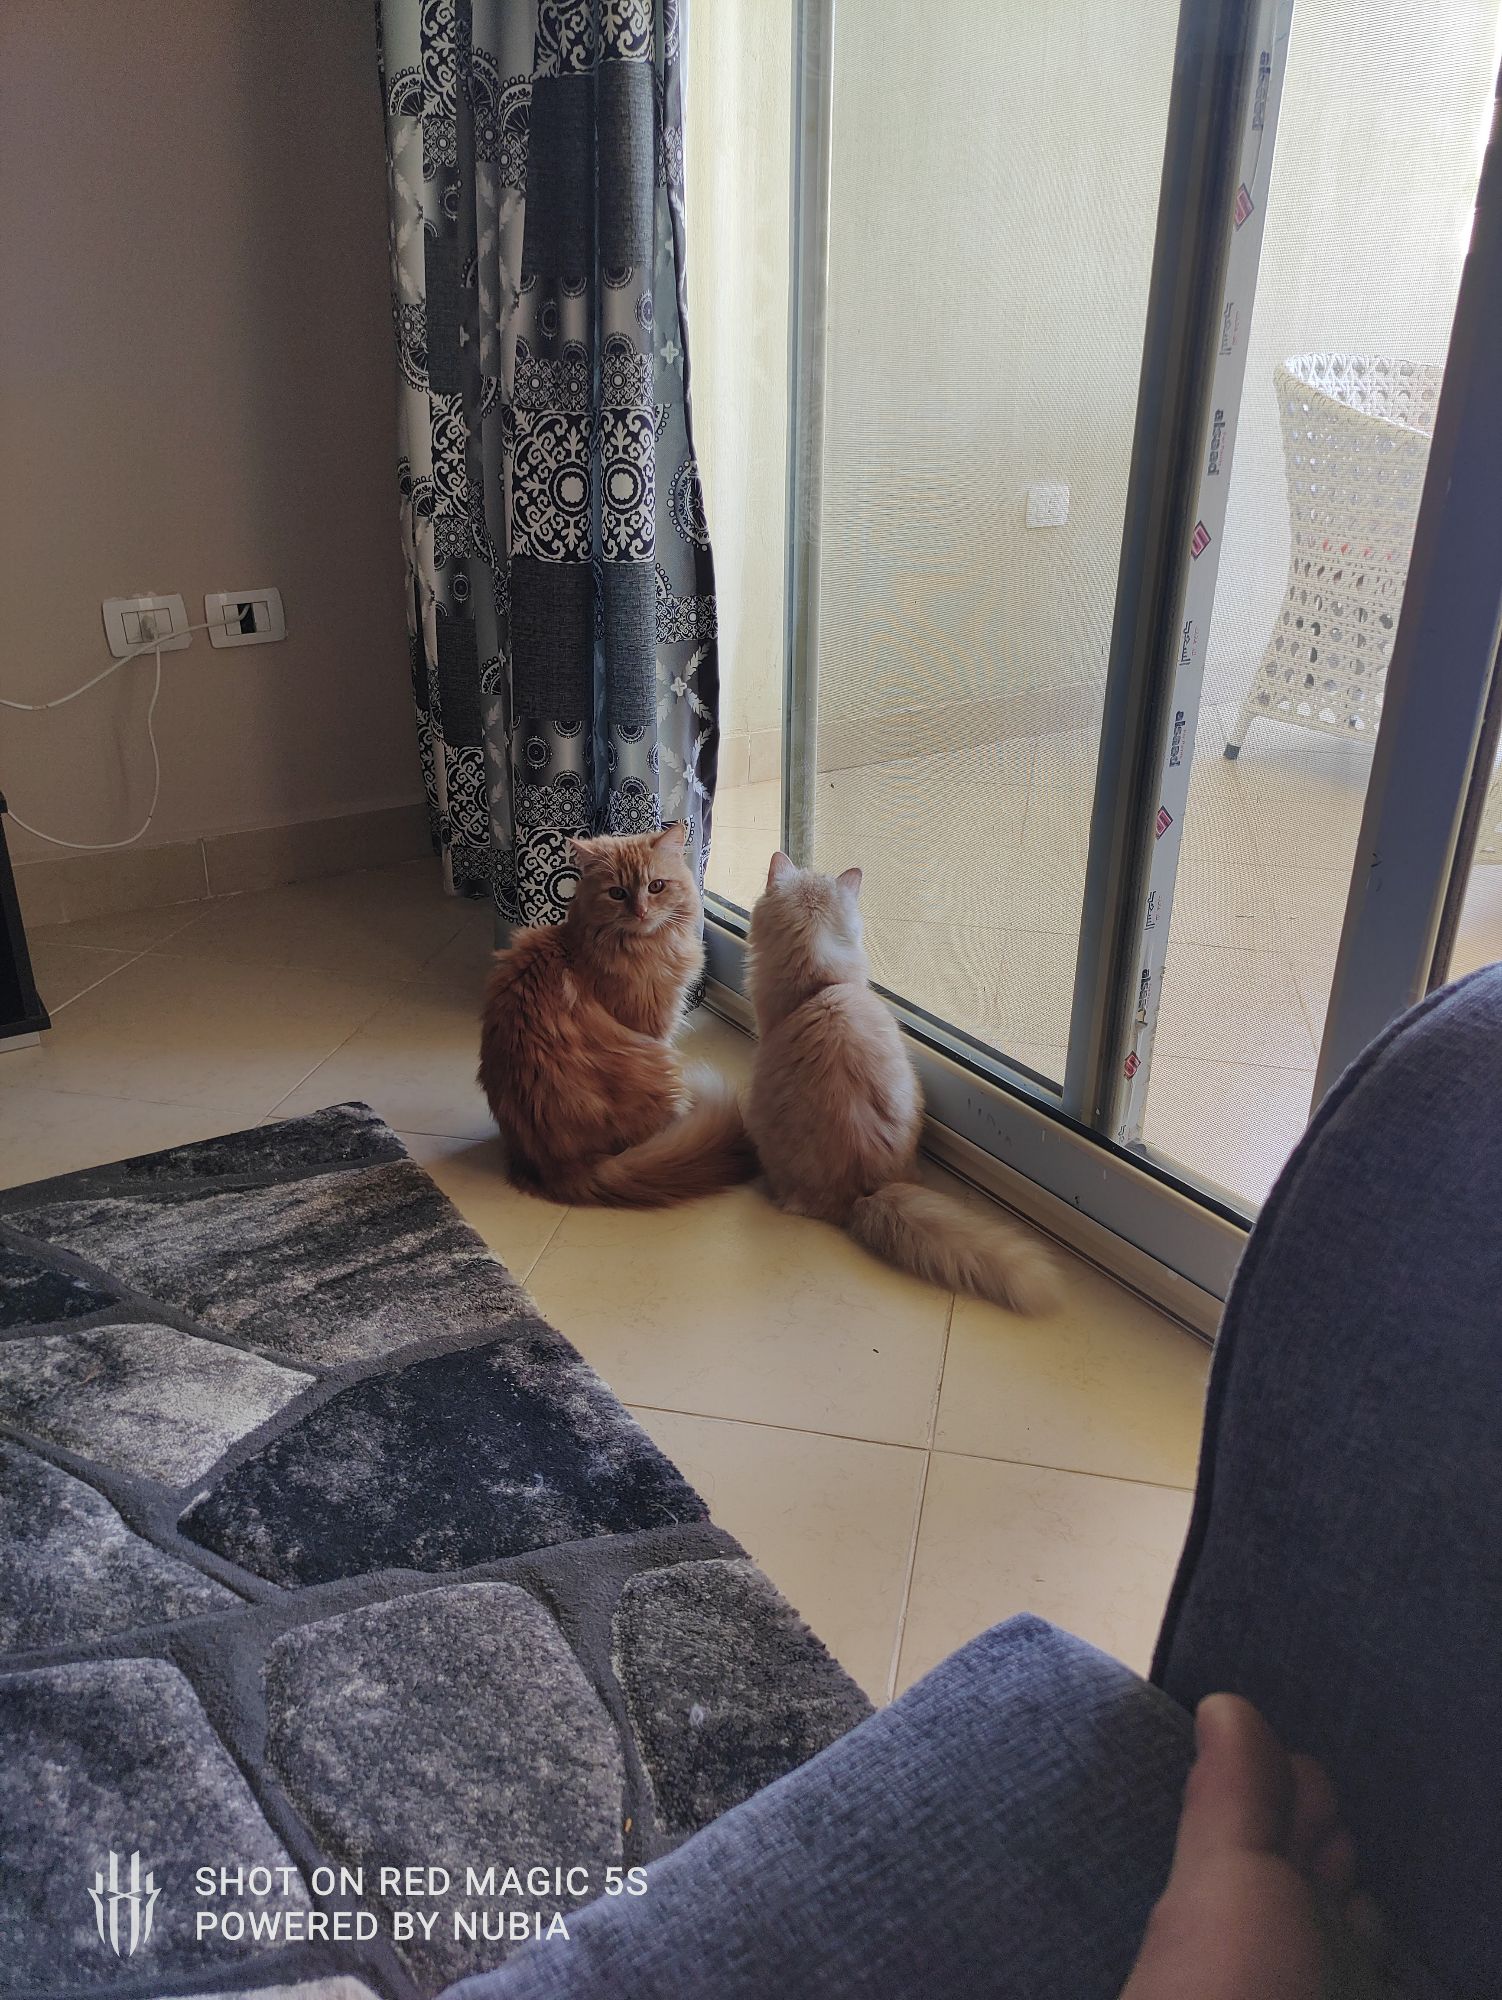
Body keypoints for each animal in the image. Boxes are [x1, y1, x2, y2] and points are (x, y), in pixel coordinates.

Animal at [478, 823, 754, 1205]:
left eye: (656, 886)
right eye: (617, 893)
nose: (640, 911)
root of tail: (561, 1169)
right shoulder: (654, 1026)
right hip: (657, 1059)